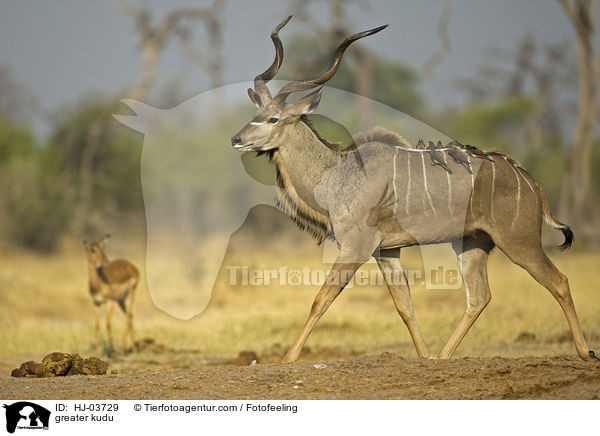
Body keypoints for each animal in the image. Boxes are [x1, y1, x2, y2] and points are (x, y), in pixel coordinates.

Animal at [231, 17, 596, 362]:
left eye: (273, 119)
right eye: (256, 113)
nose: (236, 139)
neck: (338, 173)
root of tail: (530, 181)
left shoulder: (356, 247)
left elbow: (321, 298)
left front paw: (287, 359)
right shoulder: (386, 252)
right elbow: (404, 306)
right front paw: (424, 357)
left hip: (519, 242)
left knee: (559, 282)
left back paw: (584, 352)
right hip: (472, 244)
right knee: (479, 298)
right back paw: (444, 357)